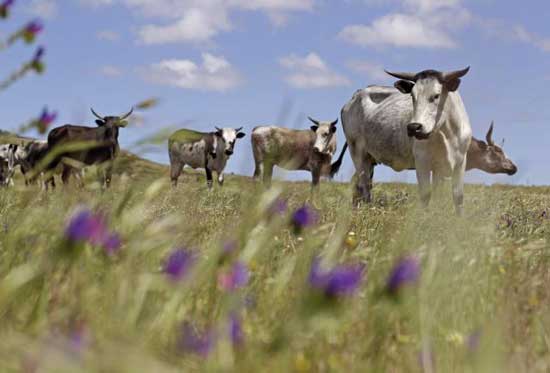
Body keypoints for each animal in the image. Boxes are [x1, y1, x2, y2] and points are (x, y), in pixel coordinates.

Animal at [338, 68, 472, 214]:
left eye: (436, 96)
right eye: (412, 96)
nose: (414, 127)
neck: (446, 134)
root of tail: (356, 95)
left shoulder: (458, 162)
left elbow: (456, 196)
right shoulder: (422, 162)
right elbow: (426, 195)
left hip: (368, 159)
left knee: (358, 186)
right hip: (357, 153)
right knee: (364, 187)